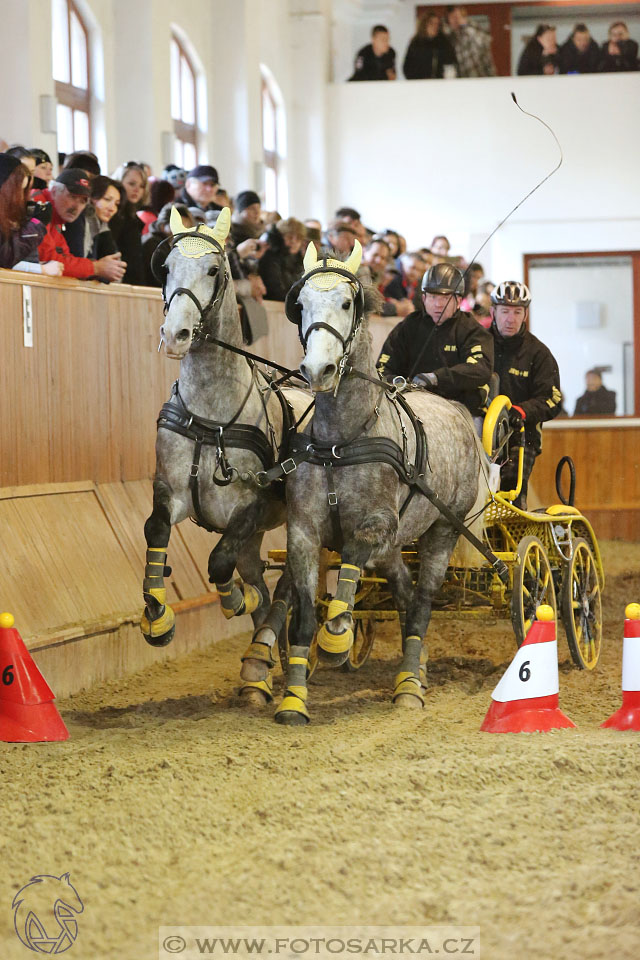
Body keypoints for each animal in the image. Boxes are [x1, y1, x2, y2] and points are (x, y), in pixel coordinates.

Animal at [141, 208, 310, 704]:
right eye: (167, 266)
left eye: (214, 270)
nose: (175, 334)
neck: (209, 416)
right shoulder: (171, 490)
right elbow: (156, 529)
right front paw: (157, 619)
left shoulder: (247, 509)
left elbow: (219, 564)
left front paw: (237, 599)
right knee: (259, 572)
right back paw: (260, 671)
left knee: (286, 583)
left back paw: (262, 650)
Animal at [276, 240, 490, 720]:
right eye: (301, 304)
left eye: (346, 303)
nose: (318, 370)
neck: (340, 442)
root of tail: (456, 410)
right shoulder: (302, 531)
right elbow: (303, 616)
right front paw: (294, 698)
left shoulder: (377, 524)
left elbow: (352, 558)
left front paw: (337, 634)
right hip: (400, 543)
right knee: (405, 593)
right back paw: (417, 667)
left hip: (442, 529)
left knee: (422, 602)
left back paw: (408, 684)